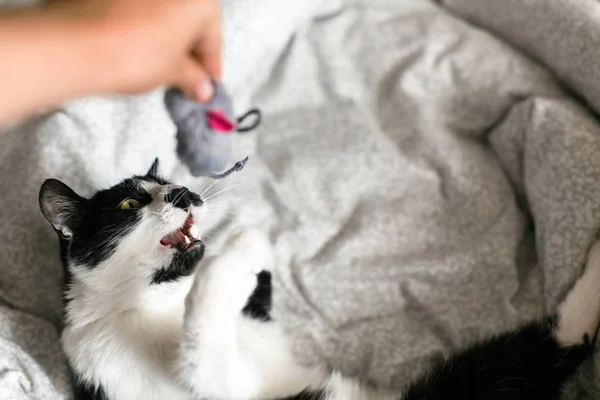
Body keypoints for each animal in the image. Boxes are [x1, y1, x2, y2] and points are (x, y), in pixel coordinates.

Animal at [38, 158, 600, 398]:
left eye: (170, 182)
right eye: (130, 204)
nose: (183, 194)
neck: (160, 297)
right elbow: (205, 338)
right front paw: (244, 244)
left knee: (559, 336)